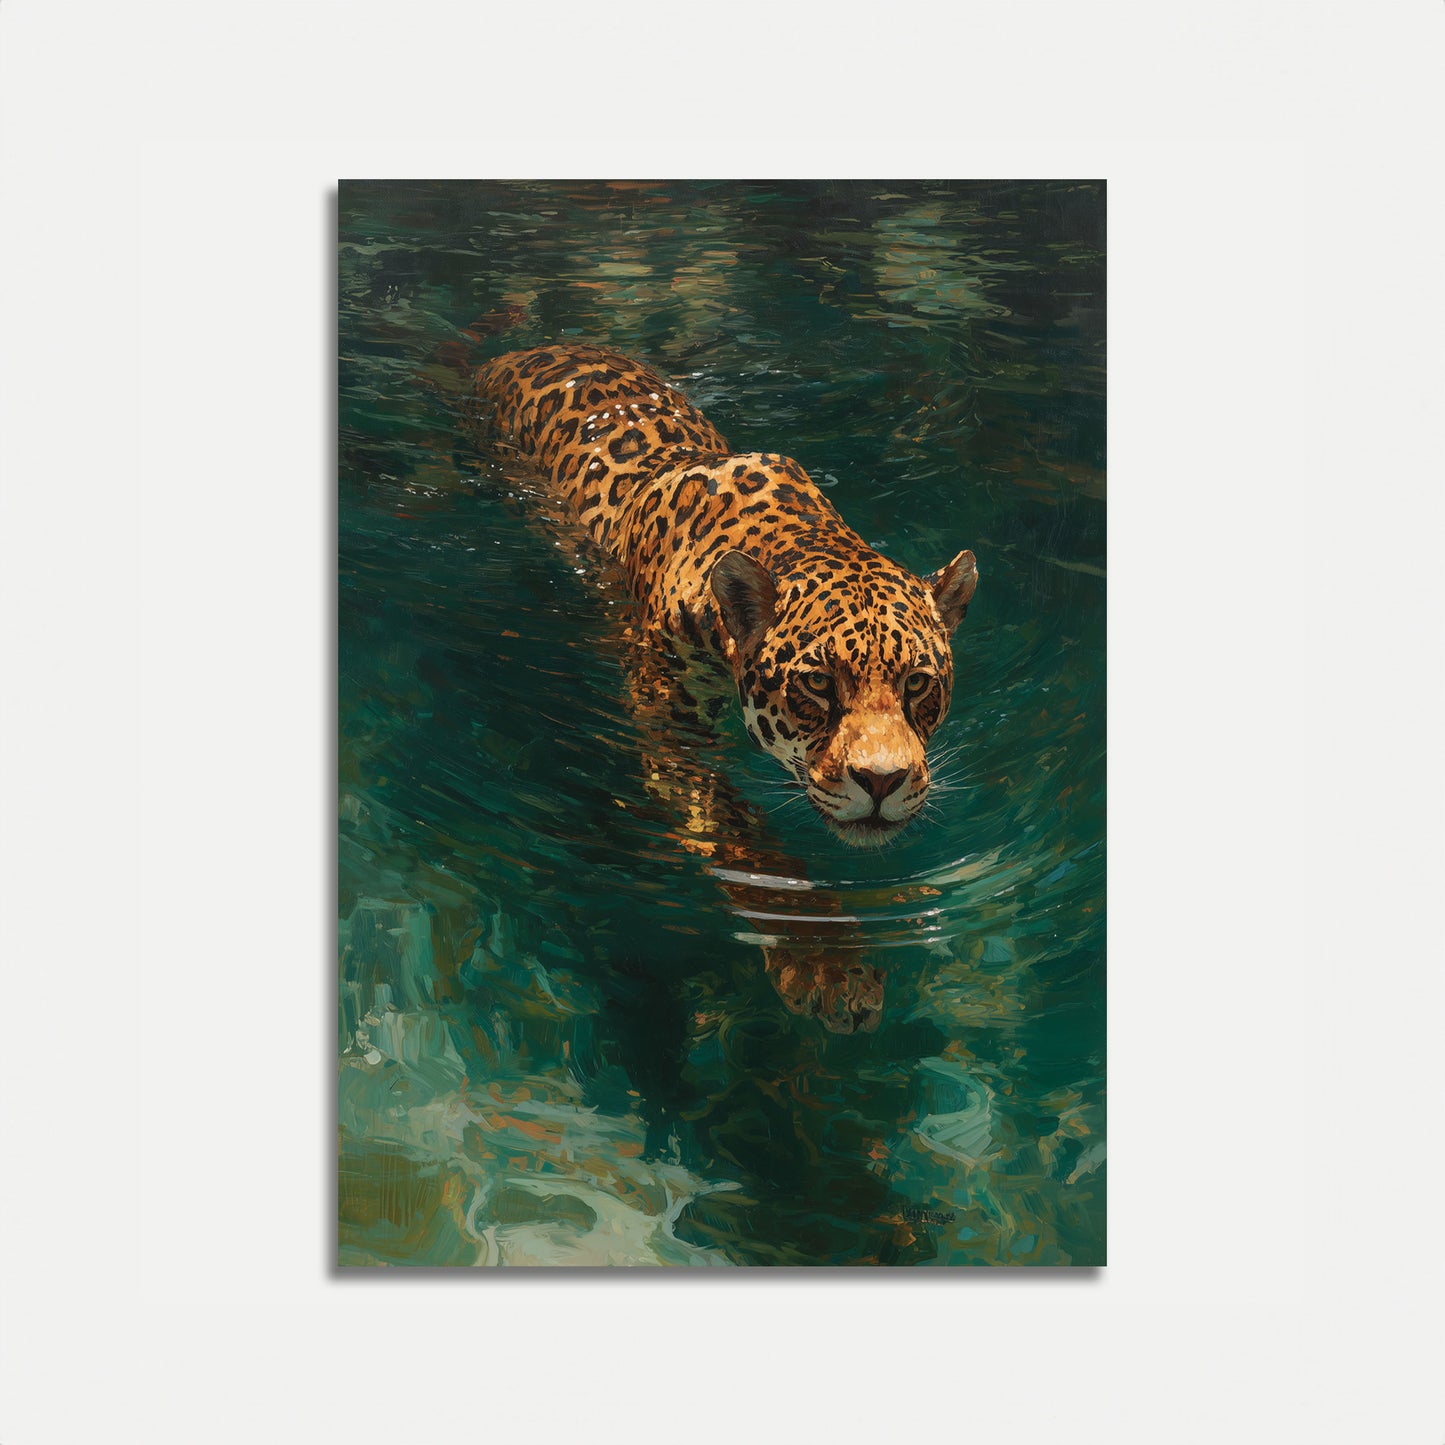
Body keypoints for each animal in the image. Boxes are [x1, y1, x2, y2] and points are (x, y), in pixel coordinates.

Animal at [466, 344, 978, 1029]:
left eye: (918, 682)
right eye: (819, 683)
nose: (882, 782)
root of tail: (534, 347)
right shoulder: (672, 732)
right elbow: (746, 843)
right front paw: (827, 962)